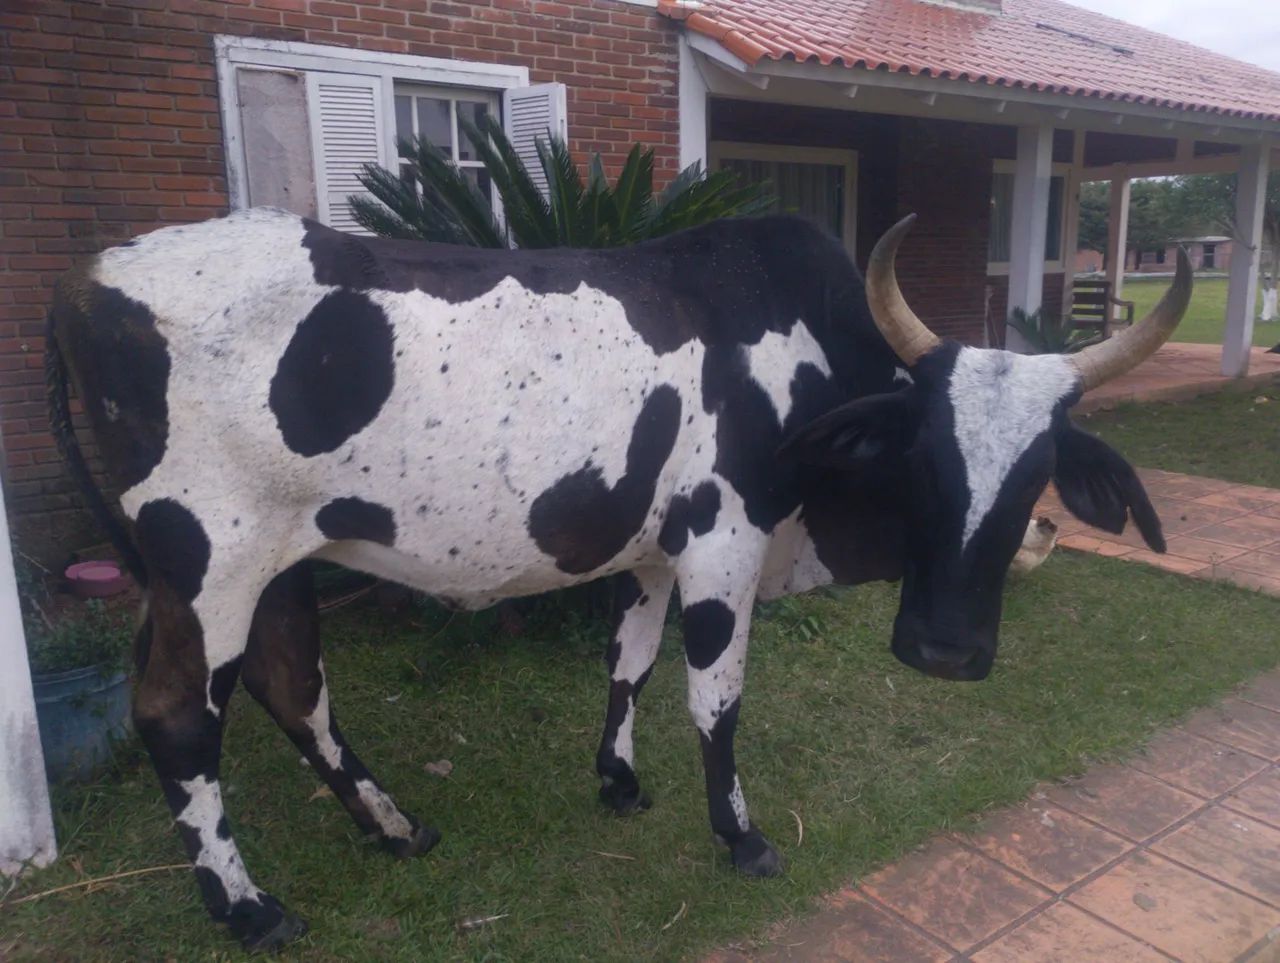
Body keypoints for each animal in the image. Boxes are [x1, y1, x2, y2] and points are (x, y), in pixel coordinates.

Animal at [46, 207, 1190, 950]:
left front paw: (619, 779)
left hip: (279, 560)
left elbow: (627, 661)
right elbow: (716, 701)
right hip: (210, 558)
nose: (944, 652)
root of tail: (90, 275)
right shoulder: (723, 538)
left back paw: (395, 828)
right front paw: (740, 835)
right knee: (179, 717)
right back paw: (247, 907)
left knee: (293, 686)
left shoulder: (650, 551)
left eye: (1038, 474)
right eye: (923, 458)